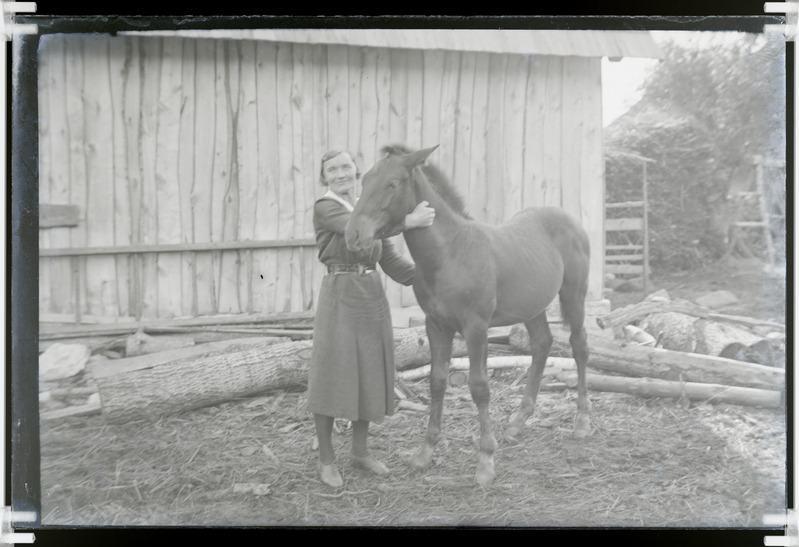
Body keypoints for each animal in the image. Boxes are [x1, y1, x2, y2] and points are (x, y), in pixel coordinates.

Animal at [346, 146, 592, 488]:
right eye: (366, 179)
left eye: (392, 184)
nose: (353, 235)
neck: (449, 253)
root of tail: (569, 219)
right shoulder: (435, 325)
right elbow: (437, 382)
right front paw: (425, 453)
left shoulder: (476, 327)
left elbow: (479, 386)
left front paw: (486, 461)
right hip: (532, 306)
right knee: (542, 344)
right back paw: (517, 422)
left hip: (574, 295)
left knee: (579, 346)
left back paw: (581, 422)